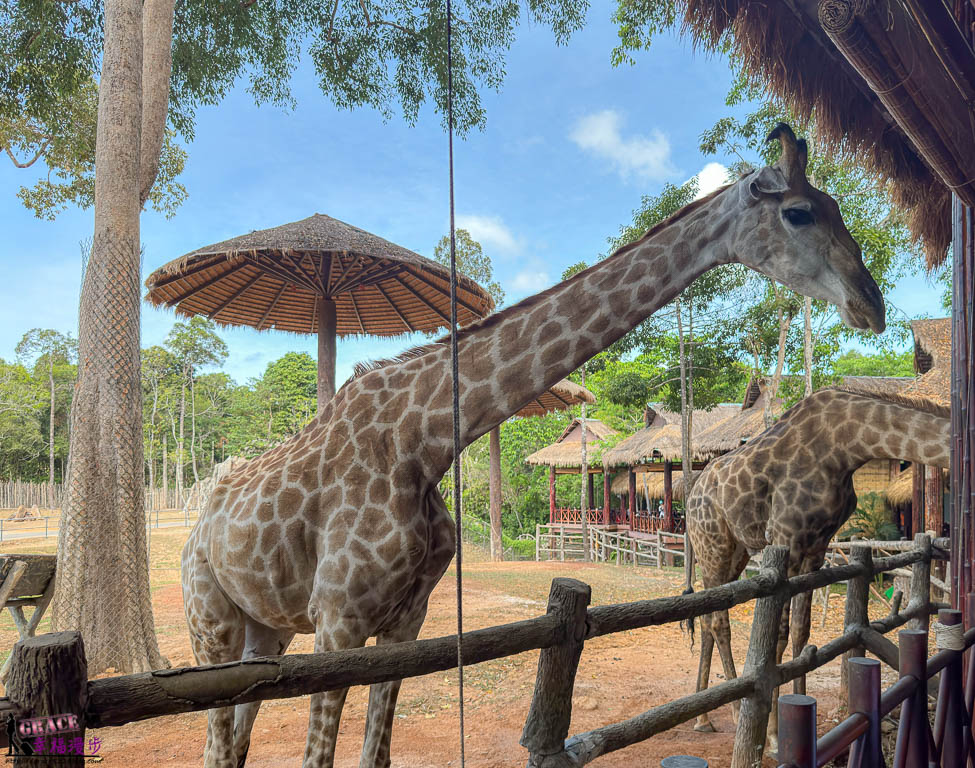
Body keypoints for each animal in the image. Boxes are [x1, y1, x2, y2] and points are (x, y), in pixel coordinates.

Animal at [179, 126, 888, 768]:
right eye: (798, 212)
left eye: (836, 206)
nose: (871, 304)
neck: (421, 443)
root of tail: (198, 529)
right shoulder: (337, 619)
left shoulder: (407, 618)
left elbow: (375, 753)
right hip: (210, 621)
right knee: (216, 740)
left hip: (266, 628)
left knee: (235, 737)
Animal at [684, 390, 948, 744]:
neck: (848, 444)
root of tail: (690, 496)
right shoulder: (786, 540)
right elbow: (779, 637)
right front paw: (773, 736)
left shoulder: (814, 552)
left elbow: (800, 631)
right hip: (712, 547)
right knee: (718, 623)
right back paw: (737, 713)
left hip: (735, 552)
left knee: (708, 617)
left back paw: (703, 718)